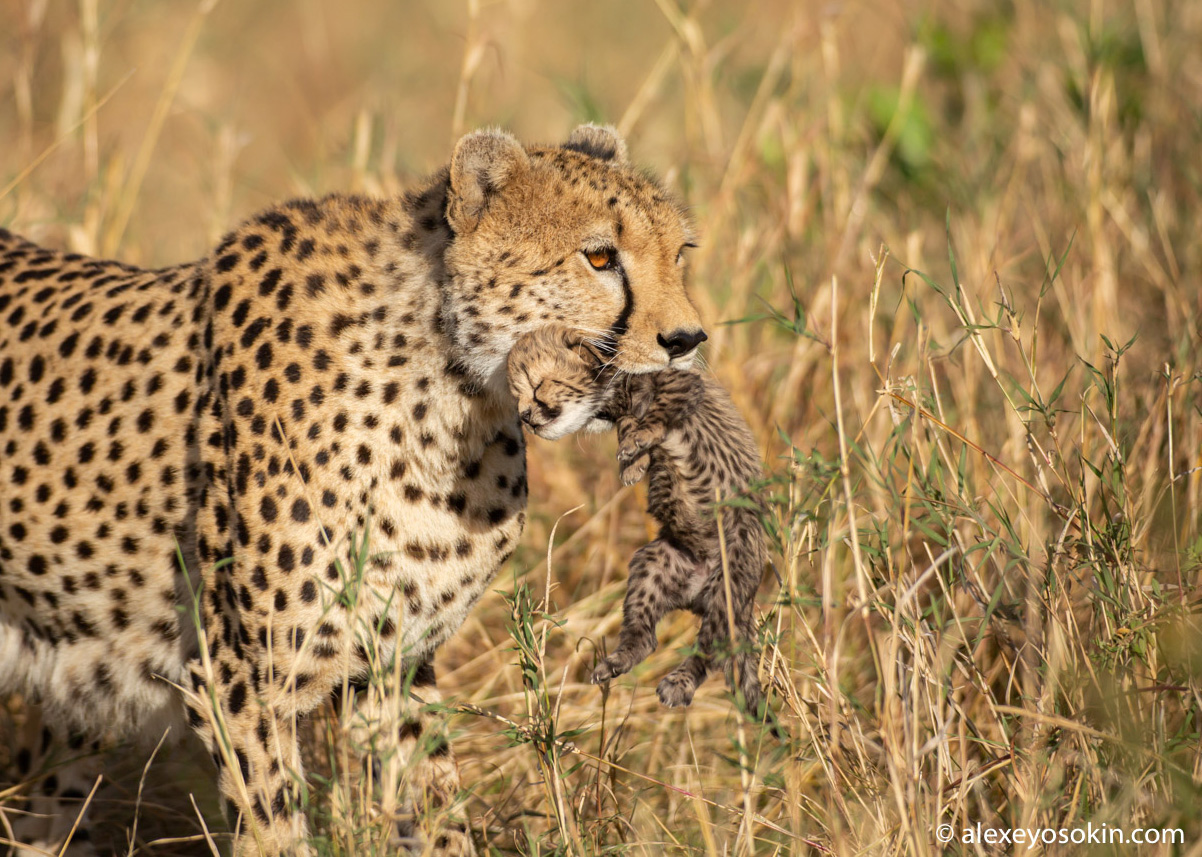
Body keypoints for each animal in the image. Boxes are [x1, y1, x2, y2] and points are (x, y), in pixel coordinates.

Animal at [0, 126, 706, 855]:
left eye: (679, 252)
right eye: (599, 256)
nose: (687, 339)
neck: (449, 390)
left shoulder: (393, 665)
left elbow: (434, 804)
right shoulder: (240, 682)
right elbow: (274, 829)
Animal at [502, 326, 764, 716]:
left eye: (539, 386)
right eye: (517, 393)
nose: (526, 418)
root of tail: (697, 592)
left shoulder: (682, 383)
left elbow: (656, 411)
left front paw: (639, 442)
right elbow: (629, 423)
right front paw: (633, 461)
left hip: (729, 585)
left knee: (711, 650)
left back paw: (678, 685)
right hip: (654, 563)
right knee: (646, 637)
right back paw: (615, 663)